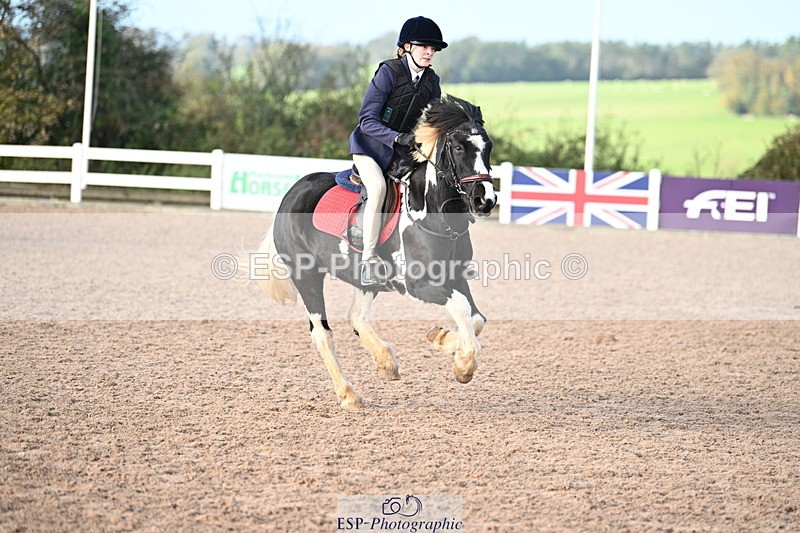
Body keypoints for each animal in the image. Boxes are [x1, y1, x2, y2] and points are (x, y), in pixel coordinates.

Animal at [253, 95, 497, 408]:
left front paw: (442, 339)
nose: (485, 200)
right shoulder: (419, 285)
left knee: (356, 317)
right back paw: (348, 395)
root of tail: (291, 193)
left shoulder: (455, 276)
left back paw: (386, 362)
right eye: (458, 147)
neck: (436, 216)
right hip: (306, 276)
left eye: (488, 147)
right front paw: (464, 364)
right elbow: (462, 308)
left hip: (364, 279)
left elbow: (476, 318)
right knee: (322, 334)